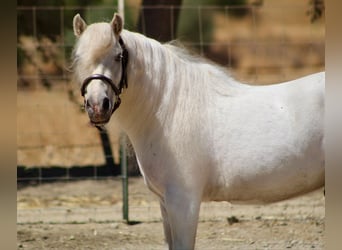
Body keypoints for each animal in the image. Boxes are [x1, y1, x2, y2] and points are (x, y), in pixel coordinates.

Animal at [71, 13, 324, 250]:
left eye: (118, 56)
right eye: (78, 58)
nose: (97, 106)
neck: (169, 110)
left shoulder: (184, 202)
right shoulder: (165, 203)